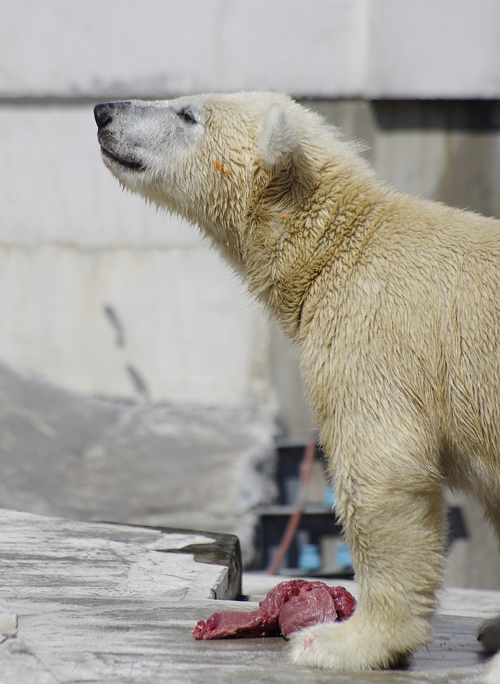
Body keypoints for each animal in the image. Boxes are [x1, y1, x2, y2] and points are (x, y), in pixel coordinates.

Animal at [94, 93, 500, 672]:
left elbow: (381, 468)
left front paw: (345, 640)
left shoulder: (372, 333)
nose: (104, 111)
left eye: (188, 114)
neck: (337, 243)